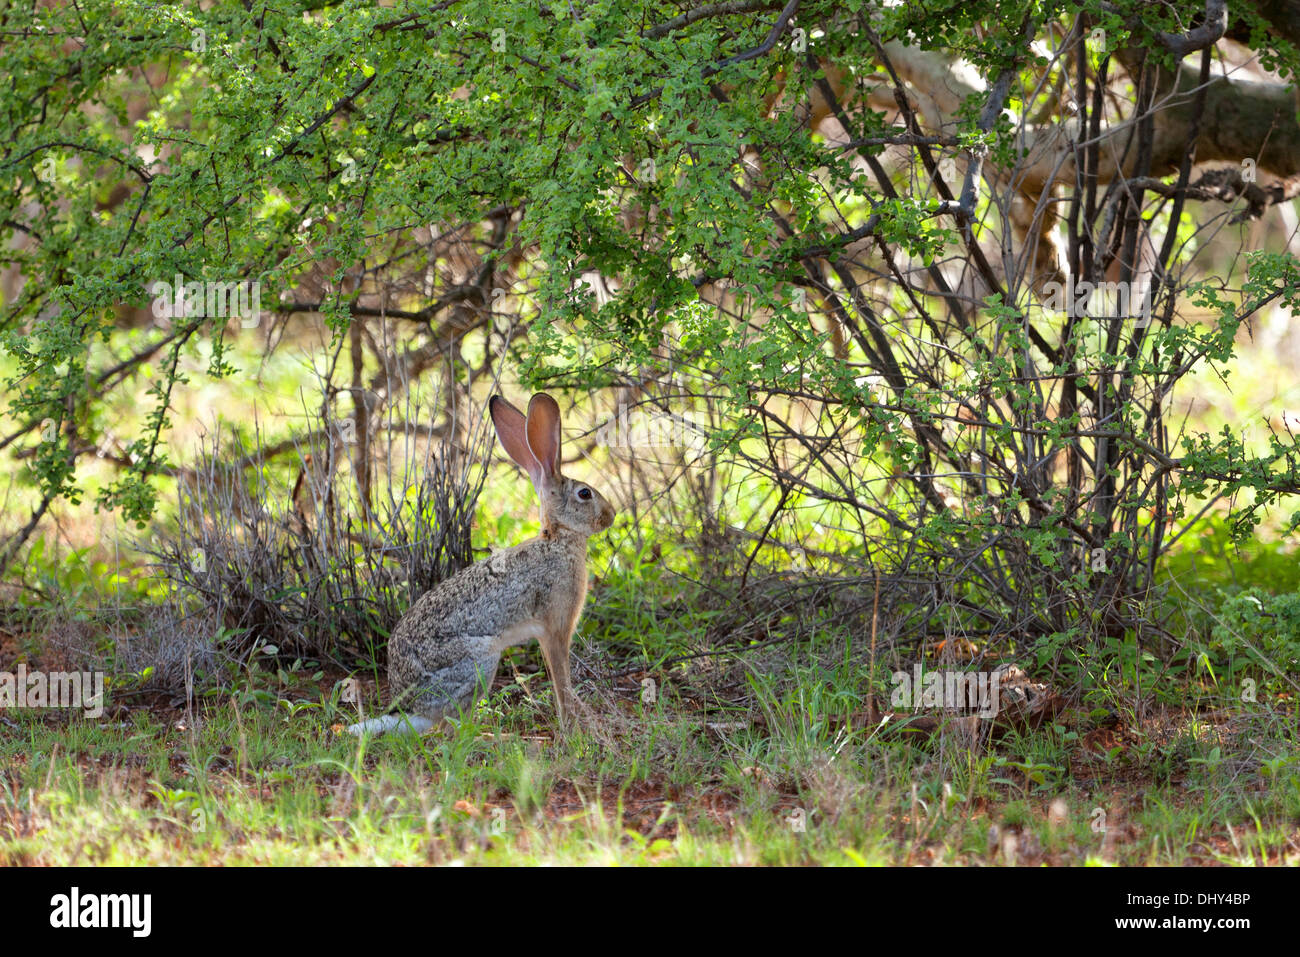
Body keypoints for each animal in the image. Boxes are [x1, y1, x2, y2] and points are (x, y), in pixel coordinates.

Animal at [347, 392, 616, 736]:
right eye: (585, 494)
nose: (611, 515)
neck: (558, 538)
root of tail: (413, 708)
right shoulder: (556, 627)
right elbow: (561, 680)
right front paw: (572, 725)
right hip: (479, 662)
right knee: (452, 727)